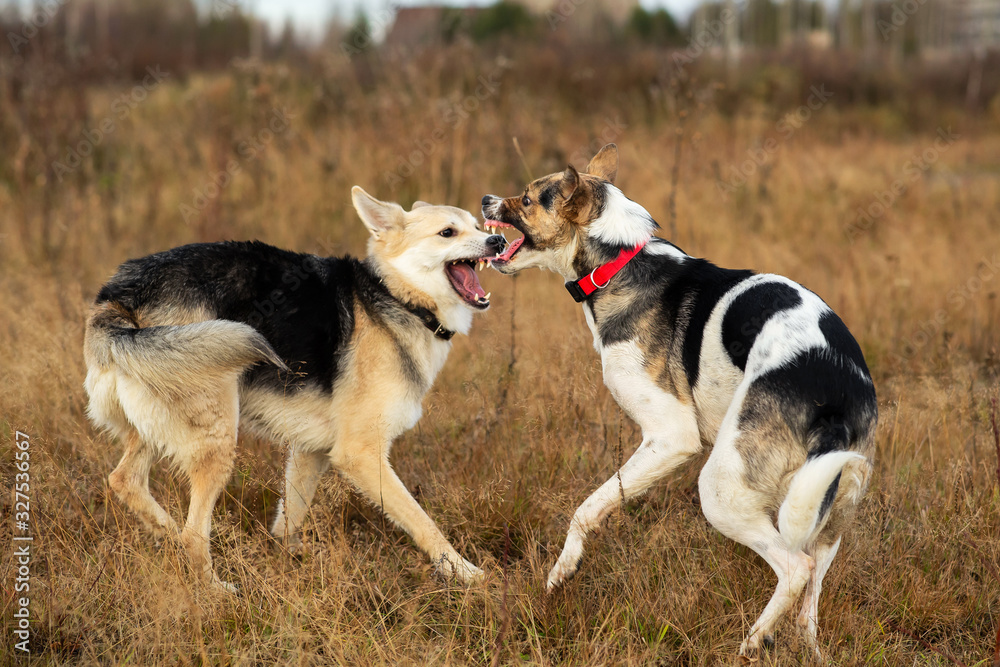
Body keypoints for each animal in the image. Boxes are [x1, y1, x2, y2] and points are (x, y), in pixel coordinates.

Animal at [85, 187, 504, 588]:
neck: (394, 298)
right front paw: (465, 573)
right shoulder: (360, 454)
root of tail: (121, 296)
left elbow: (289, 520)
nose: (498, 240)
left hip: (157, 426)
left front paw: (292, 563)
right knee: (192, 535)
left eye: (478, 226)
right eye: (448, 232)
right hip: (217, 439)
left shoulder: (310, 451)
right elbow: (423, 522)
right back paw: (217, 590)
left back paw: (167, 535)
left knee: (125, 481)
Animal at [480, 144, 880, 660]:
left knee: (794, 569)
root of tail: (835, 390)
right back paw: (803, 648)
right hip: (830, 509)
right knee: (809, 601)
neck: (616, 262)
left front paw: (560, 573)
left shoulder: (671, 438)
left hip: (721, 490)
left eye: (528, 199)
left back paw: (750, 643)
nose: (486, 199)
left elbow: (587, 509)